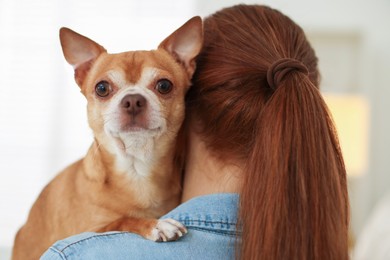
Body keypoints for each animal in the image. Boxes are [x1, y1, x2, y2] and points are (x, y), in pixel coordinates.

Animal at [11, 16, 203, 260]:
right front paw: (156, 225)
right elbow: (121, 221)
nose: (133, 100)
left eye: (164, 85)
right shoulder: (90, 228)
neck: (136, 169)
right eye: (102, 88)